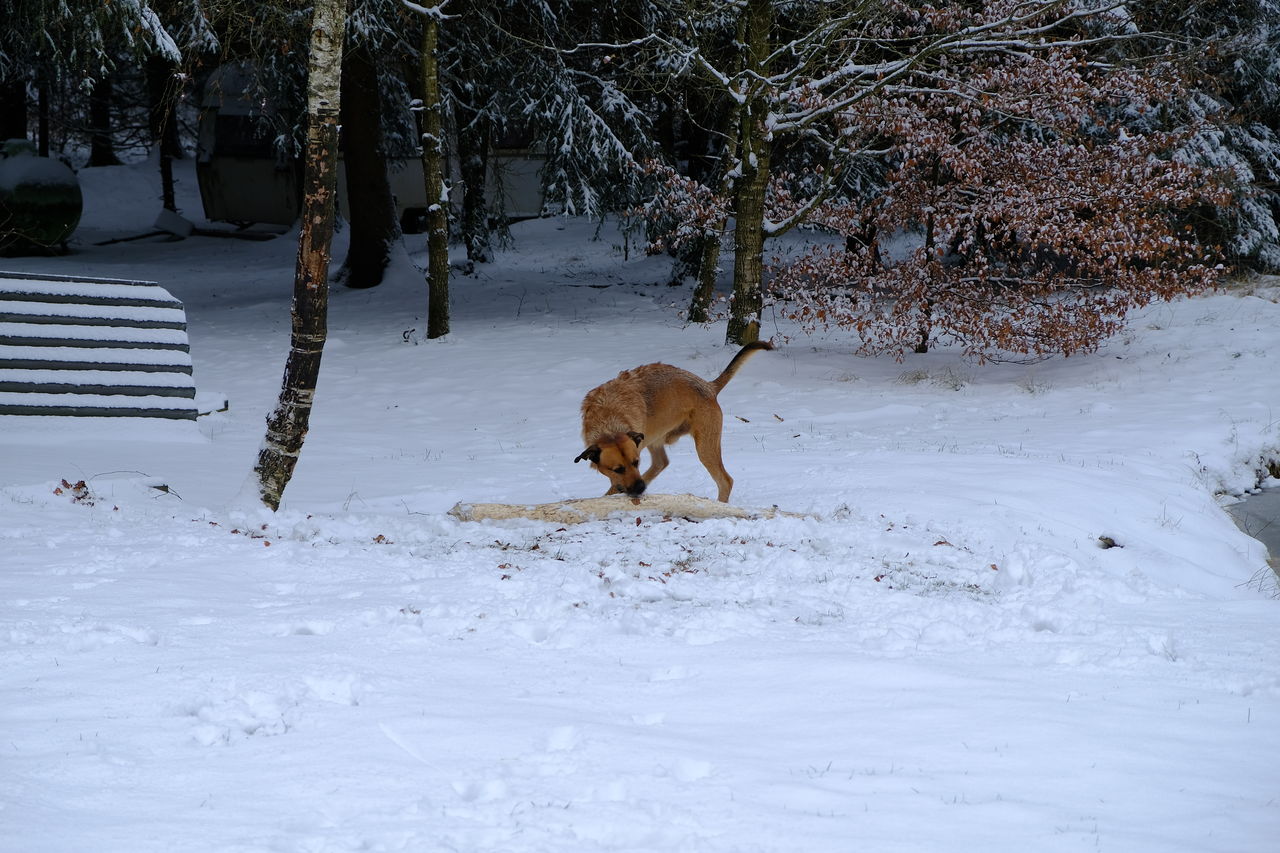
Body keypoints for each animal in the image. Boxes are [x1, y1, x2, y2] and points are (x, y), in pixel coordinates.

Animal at [578, 338, 773, 499]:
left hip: (705, 446)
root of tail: (709, 386)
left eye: (636, 462)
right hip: (657, 438)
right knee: (661, 463)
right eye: (618, 469)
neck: (609, 417)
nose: (640, 489)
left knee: (725, 481)